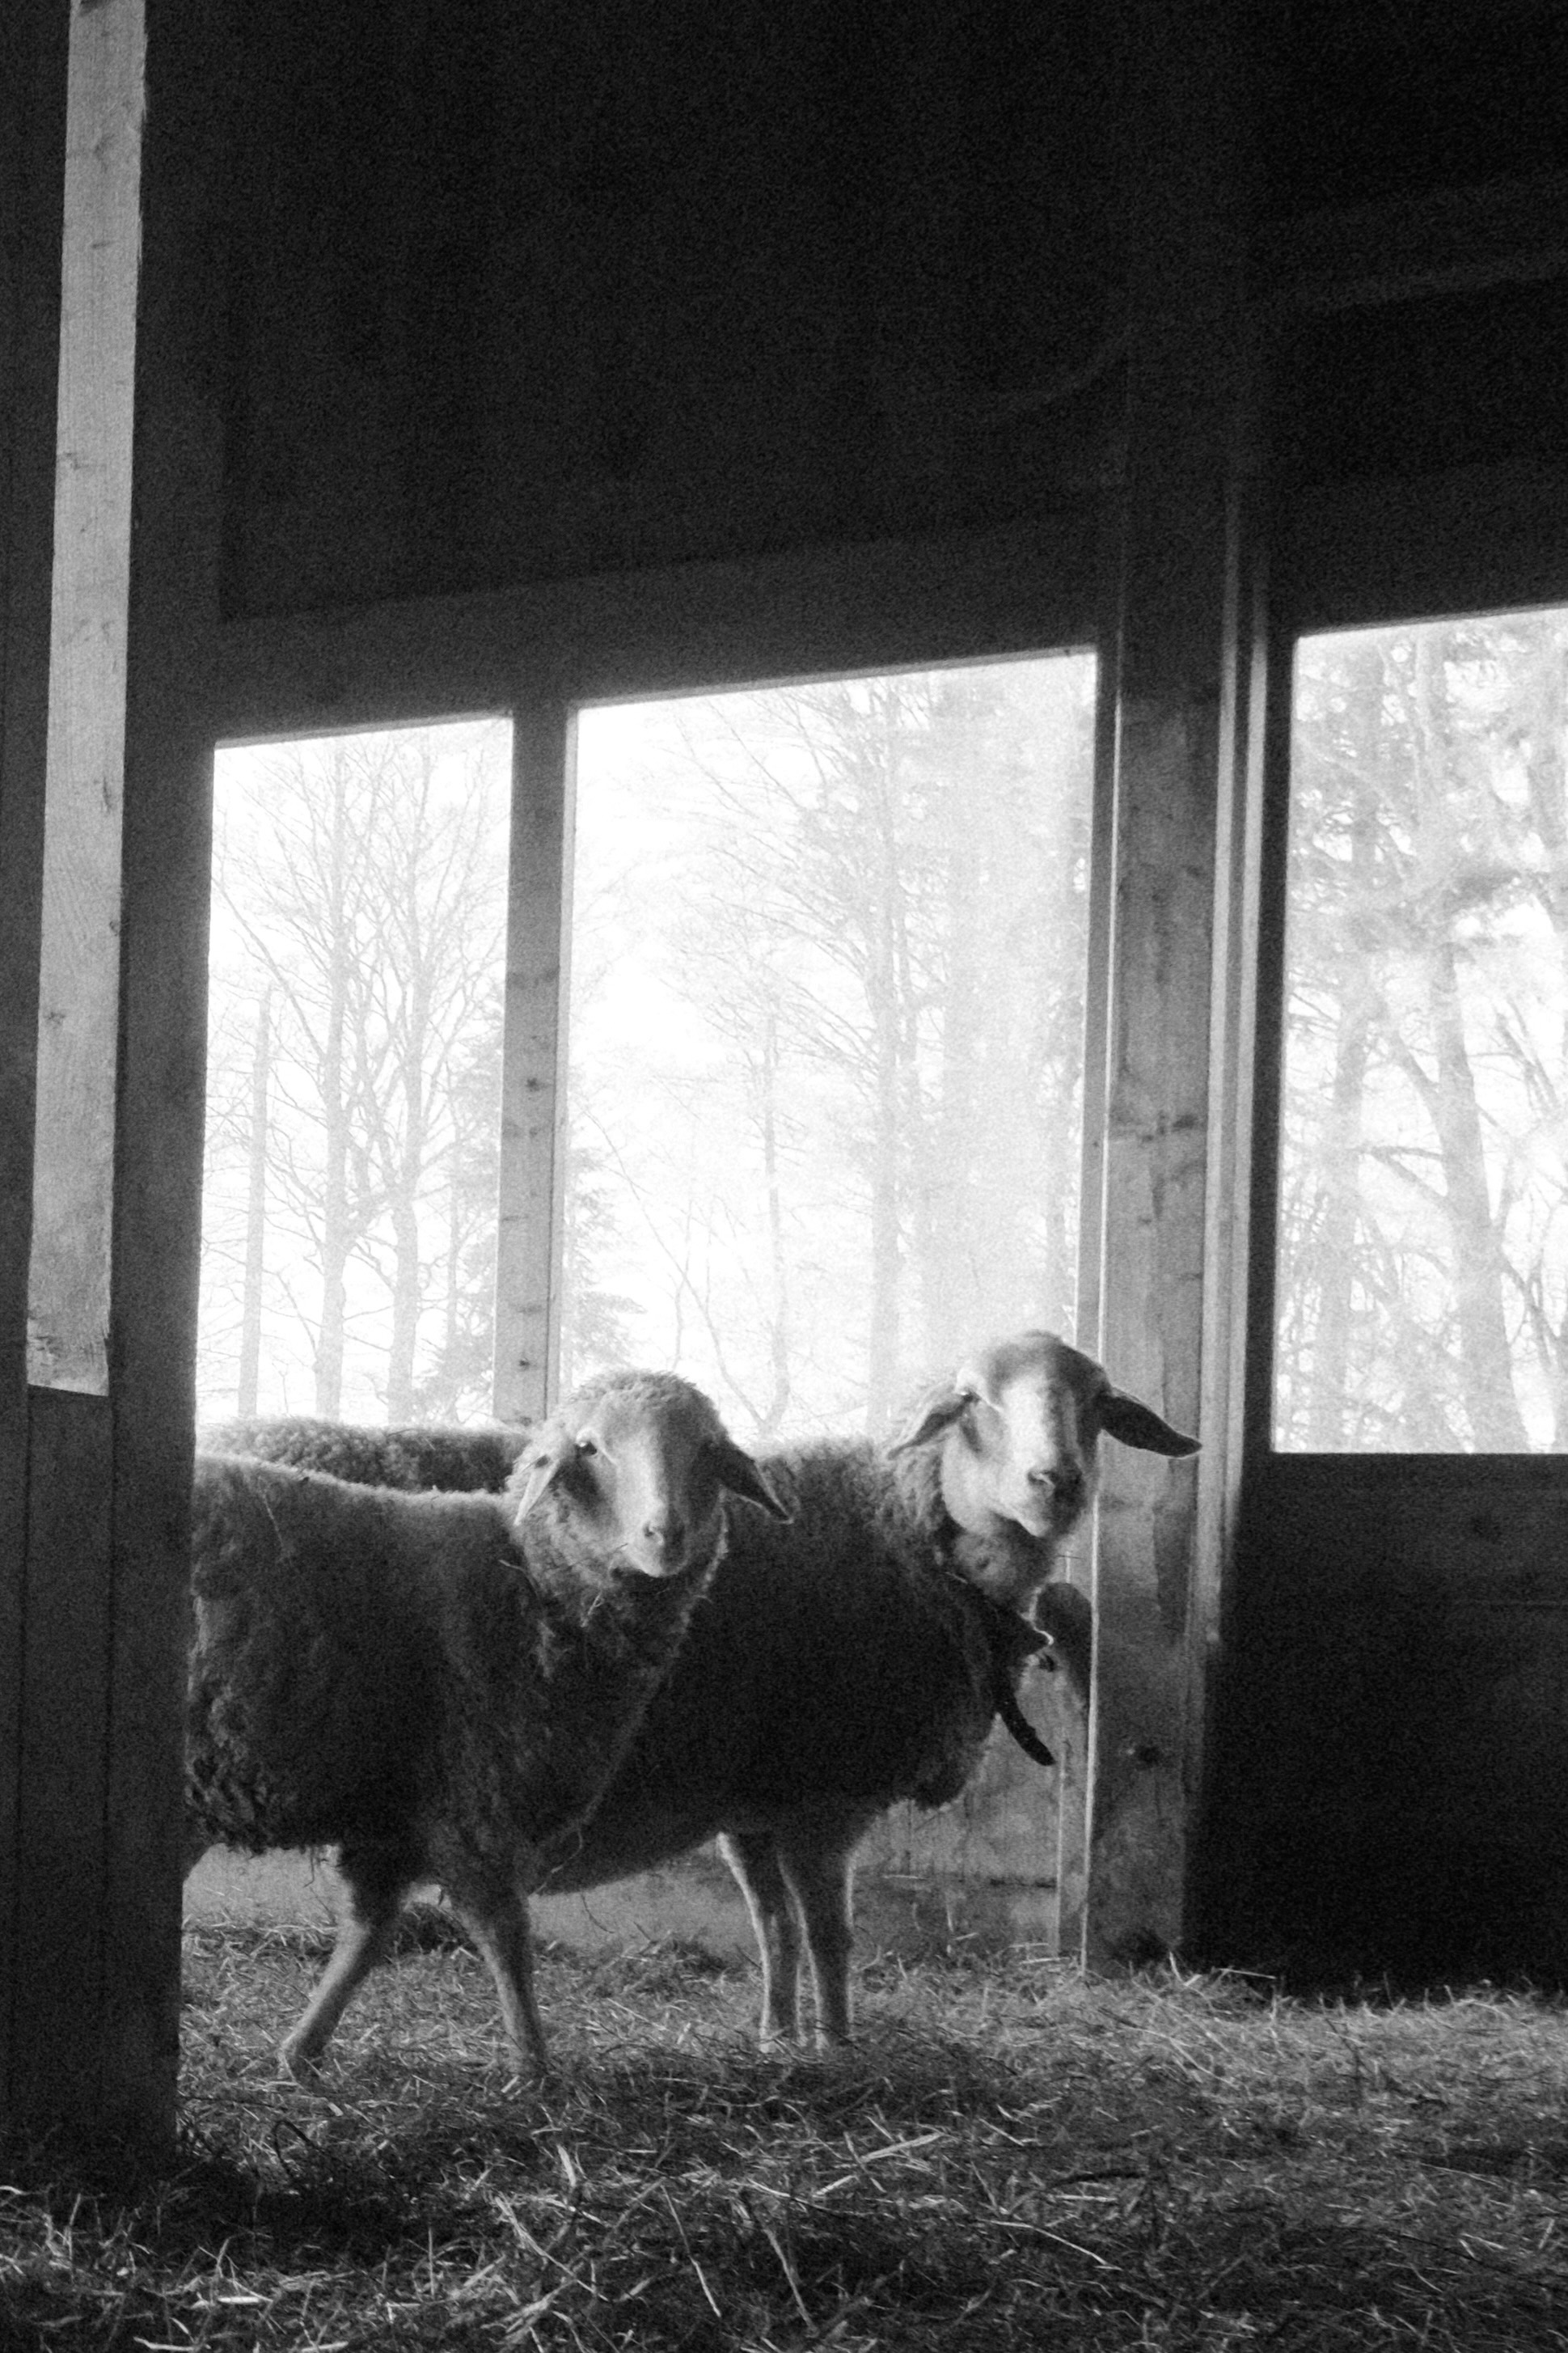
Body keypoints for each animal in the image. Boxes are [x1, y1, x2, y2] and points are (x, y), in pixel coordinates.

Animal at [185, 1369, 788, 2080]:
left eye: (706, 1449)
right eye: (589, 1448)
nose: (664, 1534)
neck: (529, 1582)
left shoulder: (393, 1817)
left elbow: (368, 1934)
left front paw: (301, 2049)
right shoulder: (478, 1796)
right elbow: (505, 1935)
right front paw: (532, 2066)